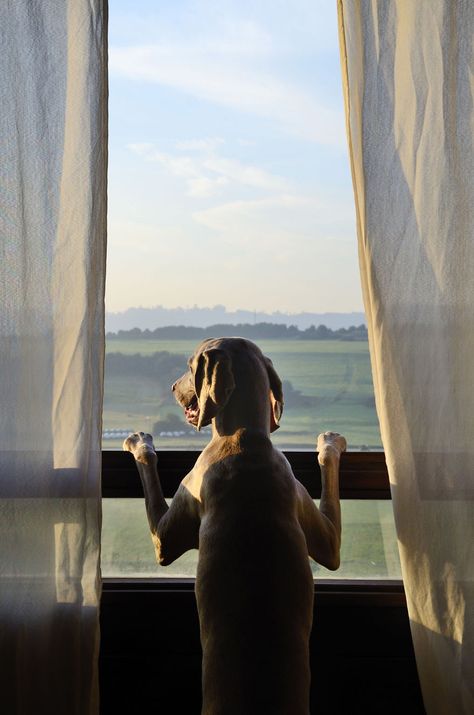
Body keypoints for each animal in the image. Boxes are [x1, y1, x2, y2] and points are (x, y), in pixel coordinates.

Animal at [124, 338, 346, 712]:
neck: (244, 438)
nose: (172, 387)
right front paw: (329, 444)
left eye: (189, 366)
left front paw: (142, 443)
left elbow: (149, 470)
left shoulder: (165, 538)